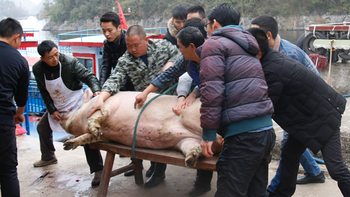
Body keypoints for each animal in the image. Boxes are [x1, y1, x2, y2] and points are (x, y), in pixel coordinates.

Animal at [59, 89, 219, 168]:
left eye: (78, 107)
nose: (60, 116)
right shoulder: (106, 137)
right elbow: (90, 137)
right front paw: (68, 145)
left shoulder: (106, 106)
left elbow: (96, 117)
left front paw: (93, 128)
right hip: (186, 141)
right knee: (197, 149)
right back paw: (190, 160)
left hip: (189, 116)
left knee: (216, 136)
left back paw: (220, 139)